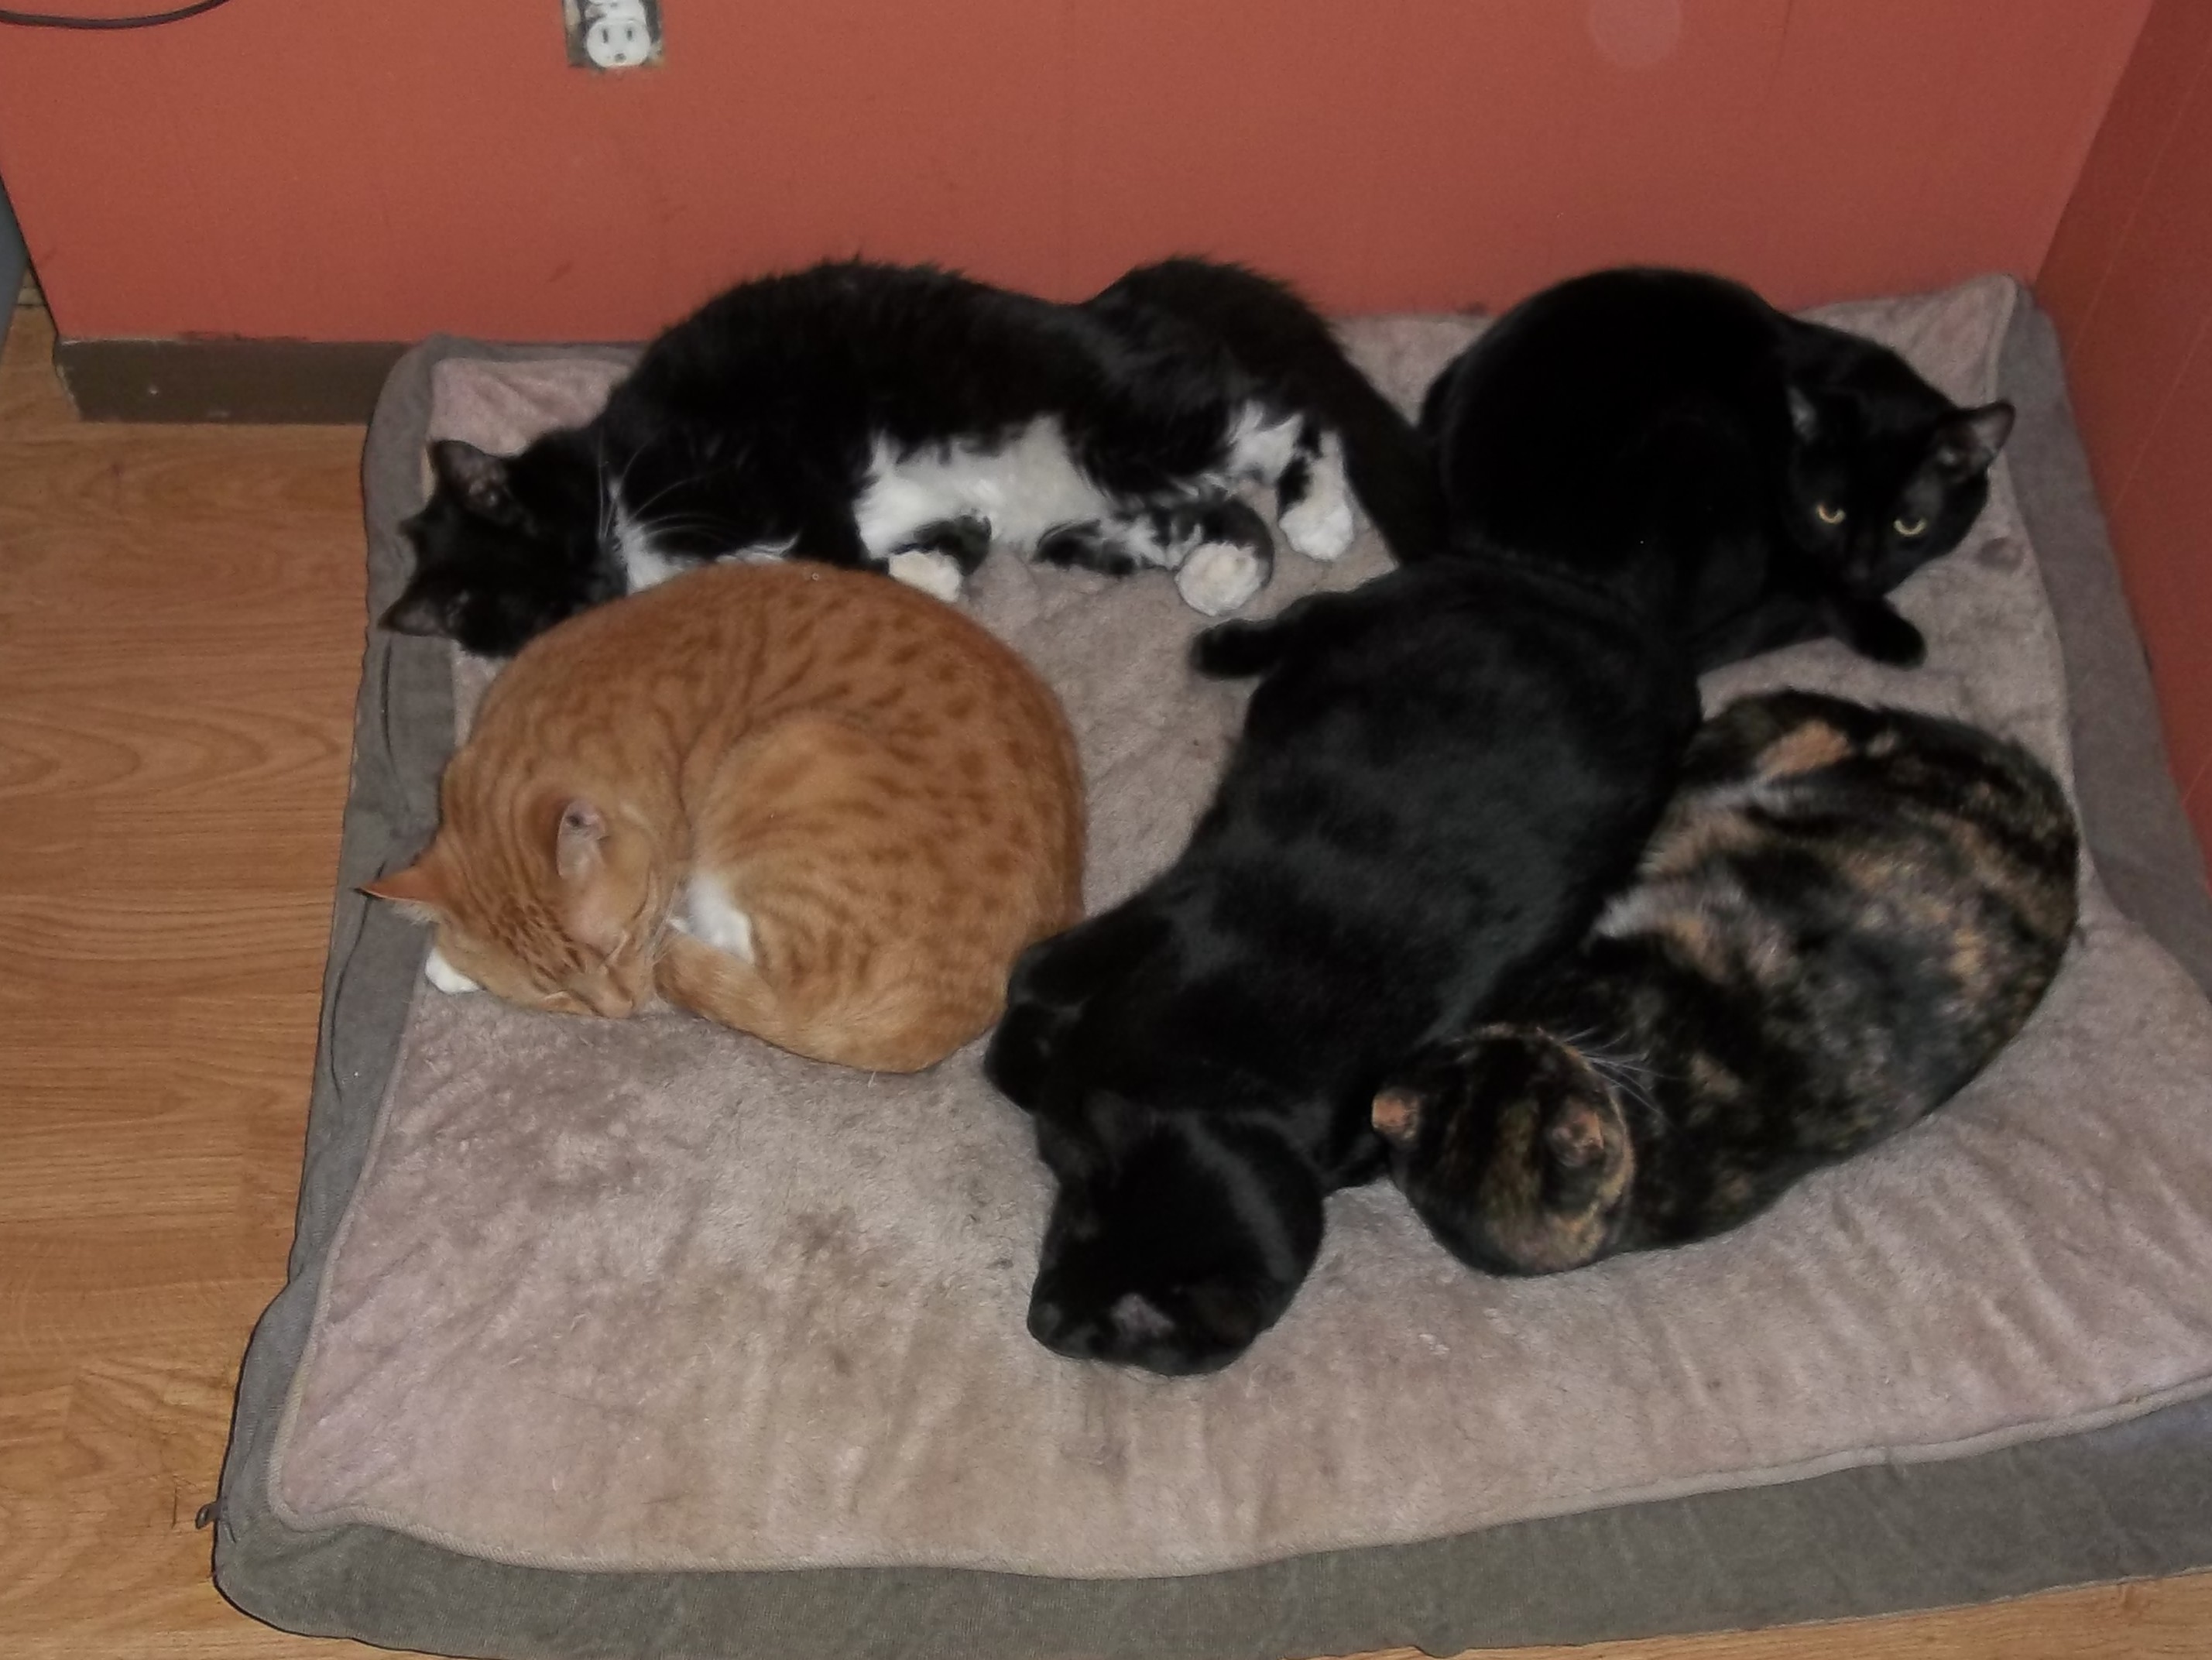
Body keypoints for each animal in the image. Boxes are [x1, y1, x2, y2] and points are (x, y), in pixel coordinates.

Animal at [384, 258, 1445, 656]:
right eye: (541, 611)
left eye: (546, 543)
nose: (595, 587)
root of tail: (1116, 300)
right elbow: (927, 539)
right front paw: (928, 575)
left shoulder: (770, 459)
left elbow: (829, 549)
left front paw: (884, 584)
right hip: (1089, 514)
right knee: (1217, 512)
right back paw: (1217, 575)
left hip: (1124, 429)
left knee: (1294, 417)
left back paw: (1318, 516)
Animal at [983, 556, 1700, 1373]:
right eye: (1076, 1235)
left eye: (1125, 1328)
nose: (1044, 1321)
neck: (1240, 1078)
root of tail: (1637, 635)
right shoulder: (1164, 913)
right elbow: (1025, 1001)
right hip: (1398, 610)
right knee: (1318, 608)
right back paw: (1225, 646)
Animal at [1415, 267, 2015, 669]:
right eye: (1830, 513)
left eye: (1908, 525)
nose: (1859, 573)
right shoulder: (1785, 532)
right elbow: (1811, 575)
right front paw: (1885, 631)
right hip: (1703, 428)